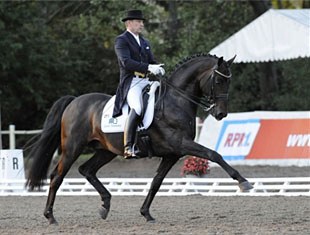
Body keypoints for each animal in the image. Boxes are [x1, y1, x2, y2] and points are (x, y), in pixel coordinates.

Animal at [25, 52, 253, 225]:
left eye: (229, 81)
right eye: (219, 80)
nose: (221, 114)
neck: (176, 101)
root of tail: (74, 101)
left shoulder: (172, 154)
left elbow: (156, 183)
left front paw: (146, 213)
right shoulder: (182, 144)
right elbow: (214, 154)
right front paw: (244, 182)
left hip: (106, 151)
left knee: (86, 170)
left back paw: (105, 205)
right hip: (73, 148)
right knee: (57, 176)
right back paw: (50, 216)